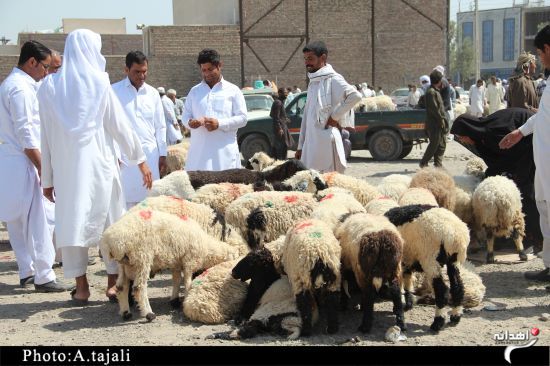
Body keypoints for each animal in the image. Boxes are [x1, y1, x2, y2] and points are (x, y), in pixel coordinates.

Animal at [100, 210, 238, 322]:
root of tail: (111, 241)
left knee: (121, 287)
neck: (207, 248)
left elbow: (176, 280)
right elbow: (187, 282)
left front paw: (174, 300)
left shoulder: (176, 263)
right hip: (142, 257)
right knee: (139, 288)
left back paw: (126, 312)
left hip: (124, 264)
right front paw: (186, 297)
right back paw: (149, 314)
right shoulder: (189, 261)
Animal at [386, 204, 472, 334]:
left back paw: (437, 323)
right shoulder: (407, 259)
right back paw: (455, 316)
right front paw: (408, 304)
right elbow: (407, 279)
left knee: (442, 291)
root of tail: (455, 235)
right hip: (454, 260)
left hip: (431, 258)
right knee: (458, 287)